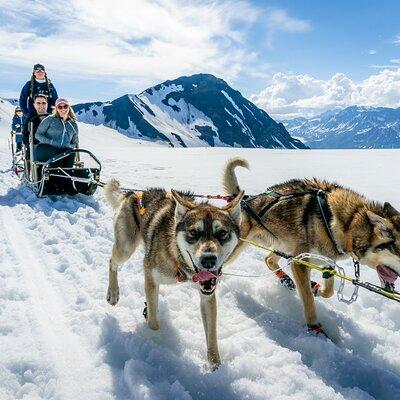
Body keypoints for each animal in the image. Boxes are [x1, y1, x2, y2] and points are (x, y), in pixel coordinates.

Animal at [104, 180, 242, 370]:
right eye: (193, 232)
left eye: (222, 233)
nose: (208, 260)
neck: (177, 257)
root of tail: (132, 194)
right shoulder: (150, 275)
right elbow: (153, 323)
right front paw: (159, 344)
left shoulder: (207, 296)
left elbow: (212, 335)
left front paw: (216, 368)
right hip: (125, 247)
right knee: (112, 261)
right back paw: (113, 292)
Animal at [222, 158, 400, 332]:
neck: (348, 223)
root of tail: (243, 201)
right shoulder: (300, 262)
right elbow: (308, 300)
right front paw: (315, 328)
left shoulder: (326, 261)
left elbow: (328, 290)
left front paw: (317, 288)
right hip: (237, 249)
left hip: (283, 245)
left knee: (269, 260)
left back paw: (286, 280)